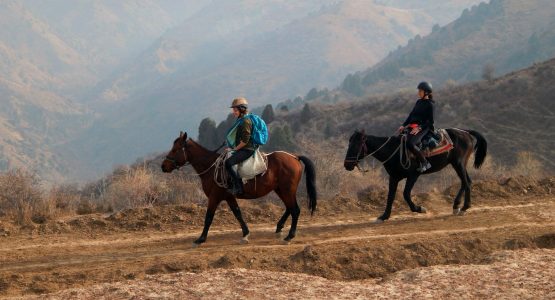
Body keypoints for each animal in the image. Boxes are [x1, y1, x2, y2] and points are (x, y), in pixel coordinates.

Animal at [161, 132, 318, 246]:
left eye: (175, 150)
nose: (163, 166)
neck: (211, 167)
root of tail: (295, 157)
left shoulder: (214, 197)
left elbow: (209, 217)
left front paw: (201, 239)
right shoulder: (229, 197)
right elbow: (238, 214)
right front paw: (245, 234)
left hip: (287, 190)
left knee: (295, 209)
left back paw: (289, 236)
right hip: (280, 189)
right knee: (289, 208)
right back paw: (279, 228)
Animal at [344, 127, 486, 221]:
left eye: (356, 145)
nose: (347, 165)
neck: (394, 150)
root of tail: (466, 133)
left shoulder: (413, 175)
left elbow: (406, 194)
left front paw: (419, 209)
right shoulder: (394, 177)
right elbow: (390, 196)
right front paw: (384, 216)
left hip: (458, 163)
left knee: (466, 182)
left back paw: (462, 207)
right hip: (459, 164)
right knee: (466, 182)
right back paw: (458, 206)